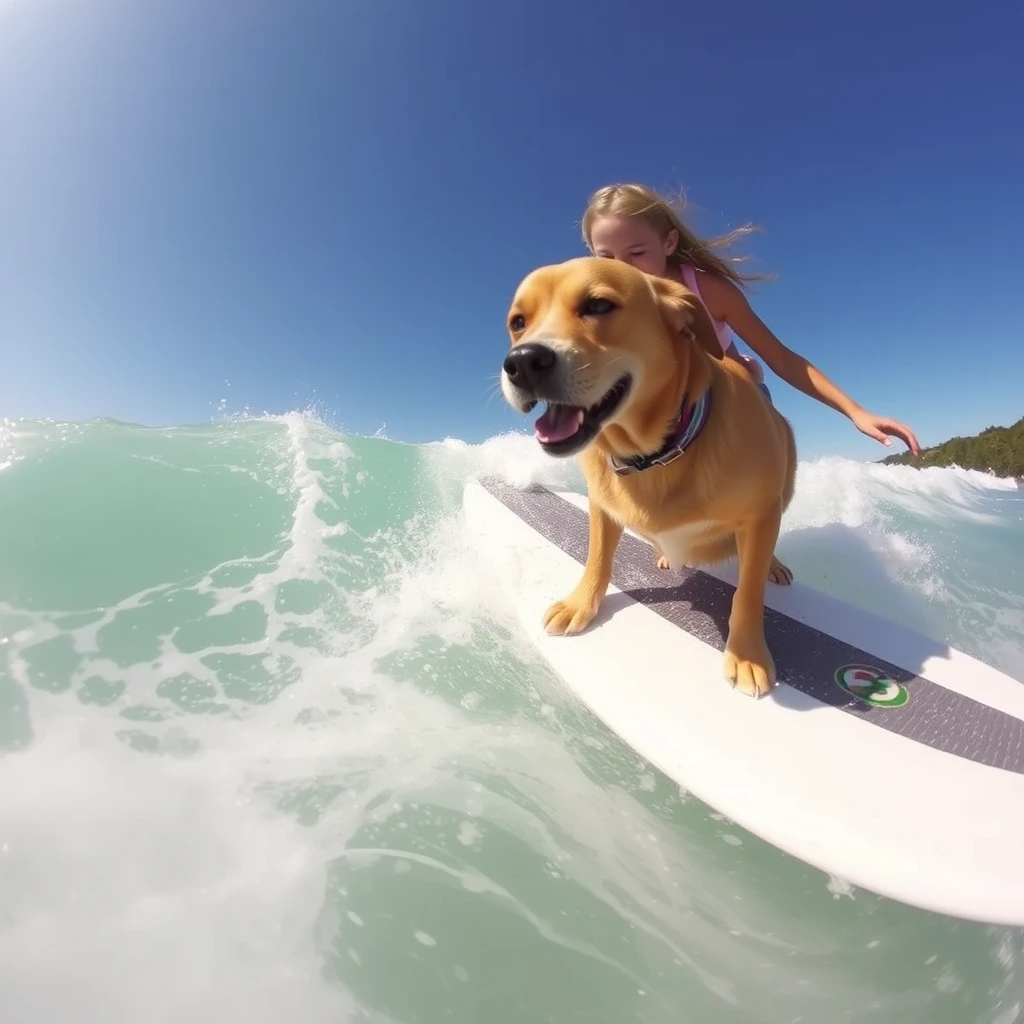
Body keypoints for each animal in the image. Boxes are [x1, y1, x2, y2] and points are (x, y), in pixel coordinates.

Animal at [499, 256, 794, 696]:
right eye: (518, 322)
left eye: (598, 305)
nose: (522, 361)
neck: (654, 456)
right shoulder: (601, 505)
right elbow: (597, 557)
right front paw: (580, 604)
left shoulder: (759, 512)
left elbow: (748, 591)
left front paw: (747, 655)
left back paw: (773, 565)